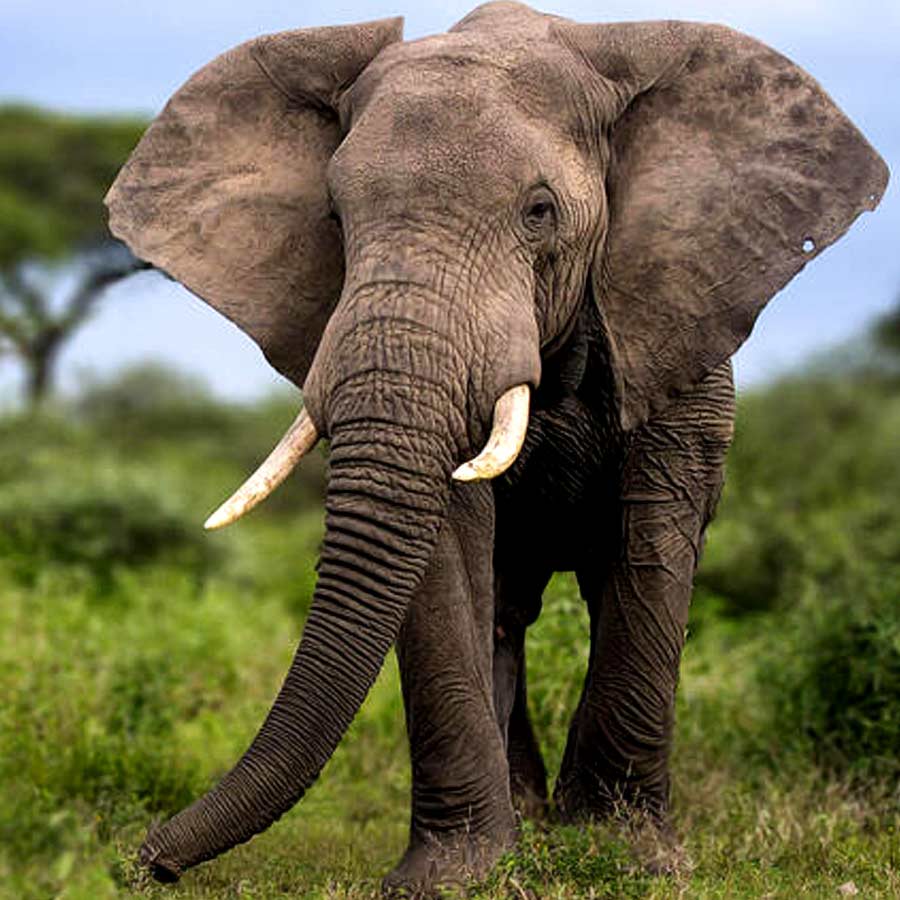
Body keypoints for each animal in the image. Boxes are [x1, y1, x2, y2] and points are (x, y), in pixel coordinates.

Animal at [105, 1, 888, 894]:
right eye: (334, 219)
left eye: (539, 212)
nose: (151, 861)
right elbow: (446, 542)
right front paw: (456, 875)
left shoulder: (674, 317)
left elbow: (652, 543)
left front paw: (629, 857)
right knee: (507, 611)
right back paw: (531, 825)